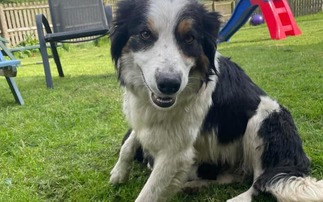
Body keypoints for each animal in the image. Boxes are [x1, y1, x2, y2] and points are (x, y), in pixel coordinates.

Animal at [109, 0, 323, 202]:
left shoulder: (175, 153)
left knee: (259, 181)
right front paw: (119, 172)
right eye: (145, 34)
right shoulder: (144, 118)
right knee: (235, 177)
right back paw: (195, 185)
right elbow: (129, 142)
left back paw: (238, 197)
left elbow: (148, 194)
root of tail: (296, 160)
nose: (169, 84)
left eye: (189, 38)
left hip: (264, 119)